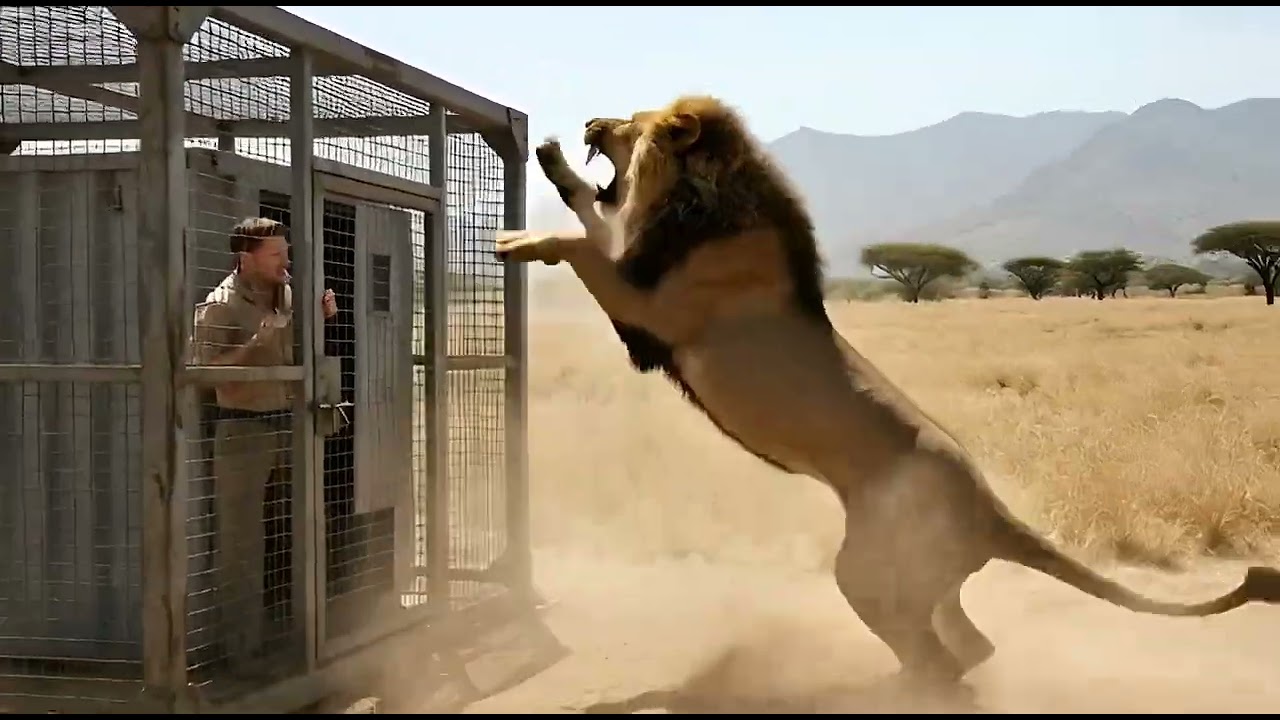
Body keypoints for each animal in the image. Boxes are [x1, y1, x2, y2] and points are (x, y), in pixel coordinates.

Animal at [494, 94, 1280, 687]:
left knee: (940, 662)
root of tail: (992, 509)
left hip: (865, 571)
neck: (704, 202)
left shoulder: (650, 310)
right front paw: (551, 161)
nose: (591, 122)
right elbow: (589, 213)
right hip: (925, 582)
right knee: (969, 648)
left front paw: (518, 241)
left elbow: (582, 242)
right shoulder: (637, 269)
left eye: (630, 121)